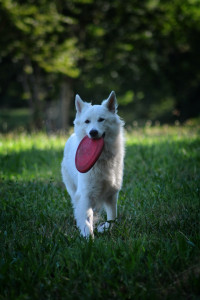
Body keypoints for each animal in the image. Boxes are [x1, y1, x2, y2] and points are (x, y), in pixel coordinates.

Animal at [61, 91, 124, 237]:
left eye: (101, 119)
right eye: (87, 121)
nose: (93, 132)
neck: (101, 158)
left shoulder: (112, 194)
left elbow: (113, 217)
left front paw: (105, 228)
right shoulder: (85, 195)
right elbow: (85, 218)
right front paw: (88, 236)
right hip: (73, 190)